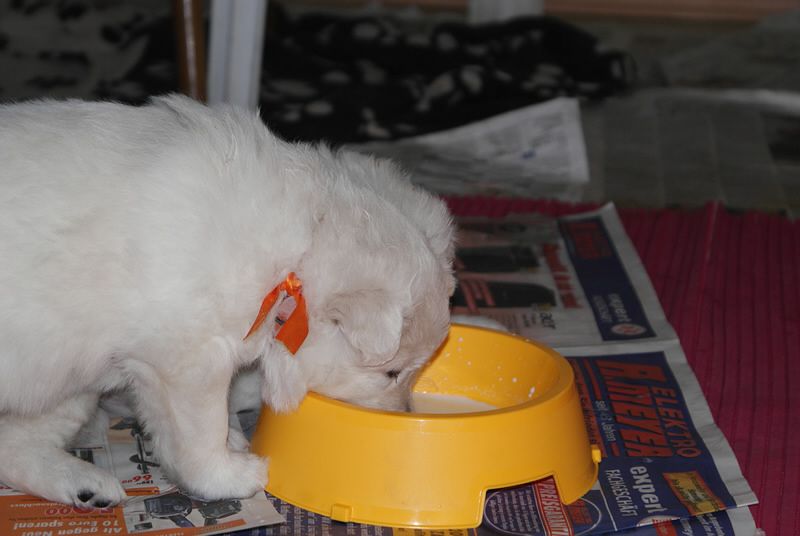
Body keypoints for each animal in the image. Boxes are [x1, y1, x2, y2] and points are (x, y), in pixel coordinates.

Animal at [0, 95, 455, 509]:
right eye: (392, 373)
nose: (404, 415)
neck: (298, 254)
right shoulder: (187, 363)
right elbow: (202, 433)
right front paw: (232, 475)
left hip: (64, 377)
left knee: (14, 447)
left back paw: (85, 485)